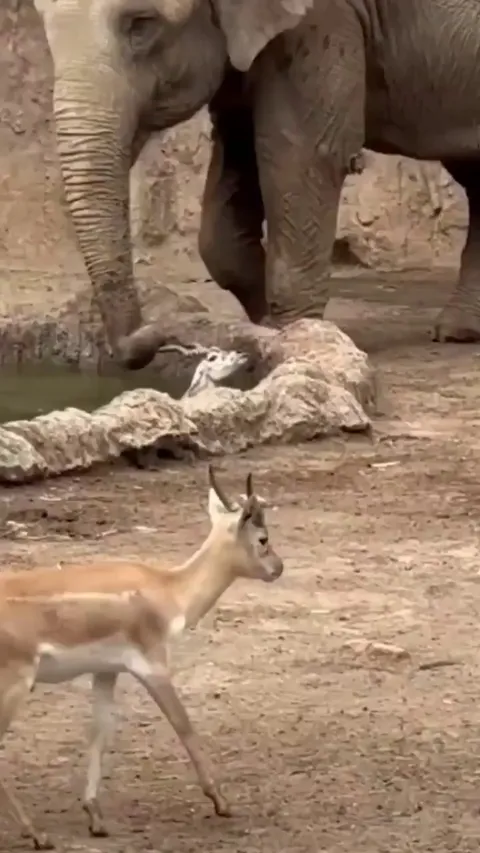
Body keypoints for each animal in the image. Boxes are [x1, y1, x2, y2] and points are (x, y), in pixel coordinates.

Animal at [0, 466, 283, 851]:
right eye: (263, 538)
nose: (278, 568)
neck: (170, 591)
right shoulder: (153, 665)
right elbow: (183, 724)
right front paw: (222, 802)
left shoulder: (106, 670)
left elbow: (99, 732)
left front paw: (95, 817)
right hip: (15, 681)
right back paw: (38, 835)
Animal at [35, 0, 480, 369]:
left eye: (142, 23)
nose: (146, 337)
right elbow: (237, 153)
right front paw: (266, 331)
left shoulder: (324, 18)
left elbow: (300, 152)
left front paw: (298, 342)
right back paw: (459, 332)